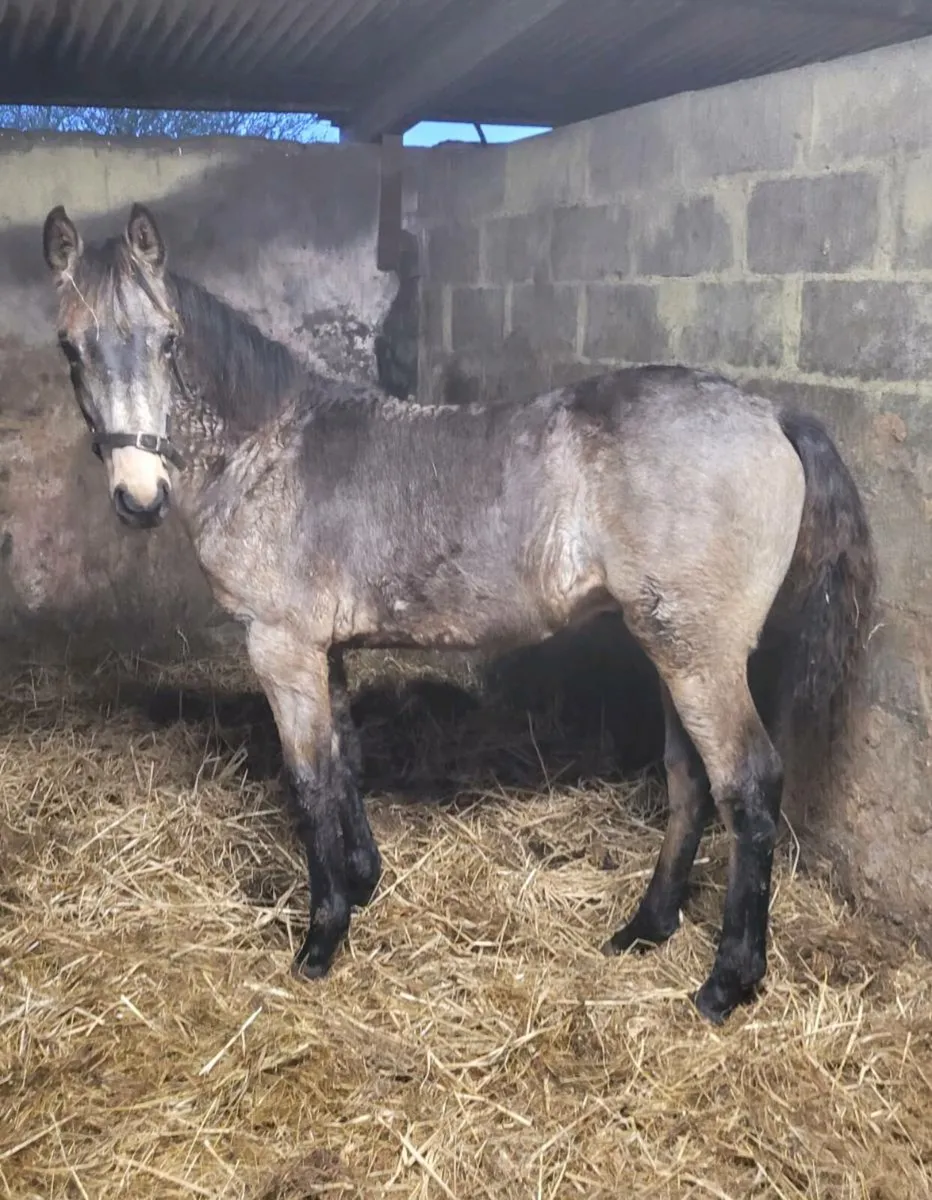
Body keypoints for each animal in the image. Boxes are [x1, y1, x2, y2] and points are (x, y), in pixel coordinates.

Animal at [41, 202, 877, 1025]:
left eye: (168, 341)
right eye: (70, 347)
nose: (139, 497)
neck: (269, 449)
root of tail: (772, 413)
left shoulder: (281, 648)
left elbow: (309, 782)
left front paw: (321, 939)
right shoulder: (324, 649)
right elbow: (344, 761)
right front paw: (363, 880)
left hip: (700, 656)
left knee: (747, 784)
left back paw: (727, 981)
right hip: (674, 649)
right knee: (689, 778)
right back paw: (646, 926)